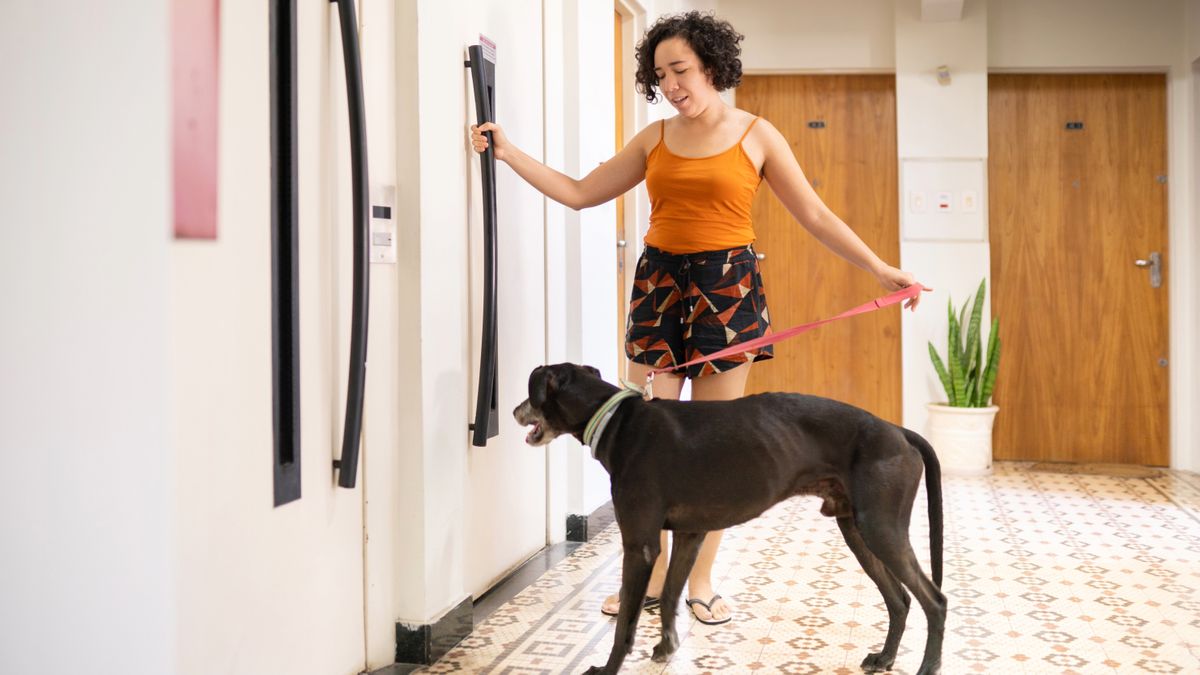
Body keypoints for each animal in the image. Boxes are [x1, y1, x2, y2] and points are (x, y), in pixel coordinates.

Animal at [511, 362, 940, 672]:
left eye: (530, 388)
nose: (514, 410)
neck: (618, 420)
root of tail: (897, 430)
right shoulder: (689, 534)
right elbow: (669, 596)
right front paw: (666, 647)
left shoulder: (640, 546)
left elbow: (624, 626)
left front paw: (606, 668)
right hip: (858, 531)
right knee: (901, 600)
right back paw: (885, 659)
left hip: (881, 528)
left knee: (934, 600)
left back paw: (928, 665)